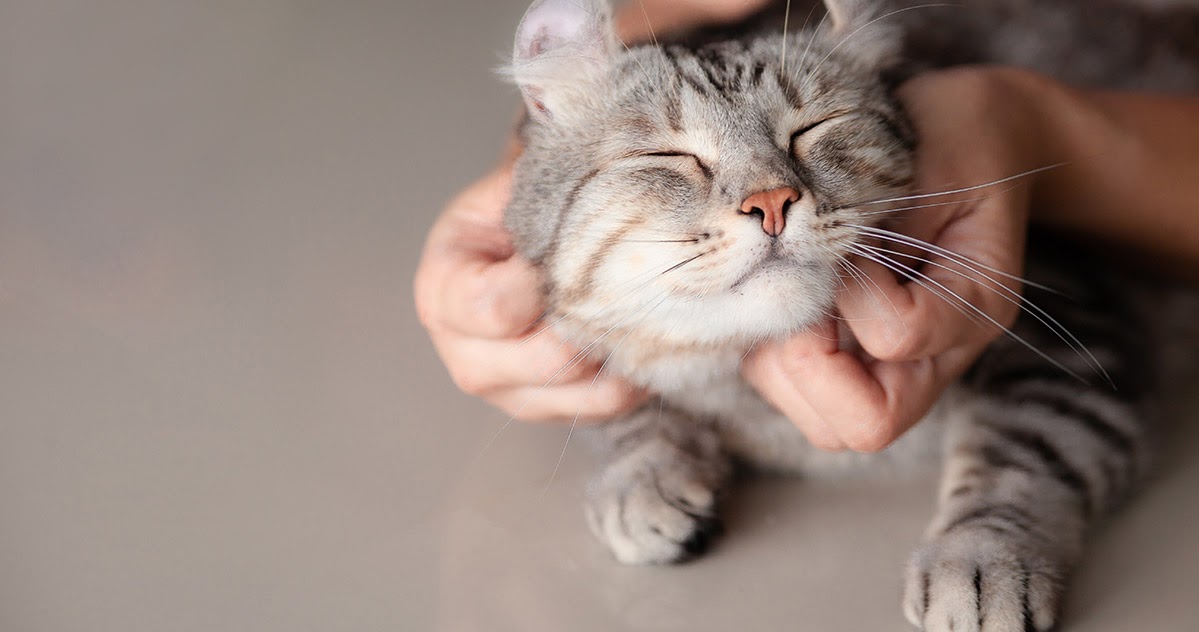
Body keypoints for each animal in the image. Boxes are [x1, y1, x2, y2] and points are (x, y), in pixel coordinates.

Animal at [498, 2, 1199, 628]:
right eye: (669, 157)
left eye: (814, 128)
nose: (771, 201)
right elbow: (627, 408)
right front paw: (644, 475)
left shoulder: (1073, 330)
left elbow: (1022, 457)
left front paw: (978, 560)